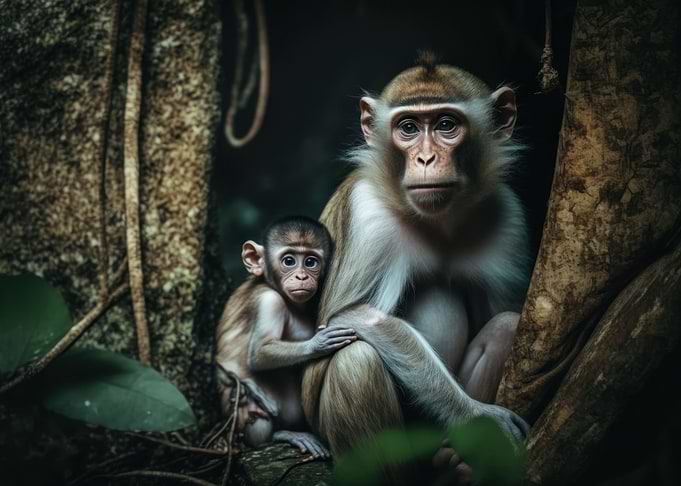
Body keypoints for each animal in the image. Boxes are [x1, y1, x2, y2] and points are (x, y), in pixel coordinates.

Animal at [215, 216, 356, 459]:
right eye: (289, 261)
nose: (302, 276)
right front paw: (319, 343)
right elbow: (259, 353)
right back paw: (282, 434)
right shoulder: (270, 301)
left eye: (311, 262)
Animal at [300, 52, 531, 478]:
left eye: (446, 125)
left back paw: (454, 460)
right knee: (355, 362)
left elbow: (504, 315)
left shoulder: (507, 216)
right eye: (408, 128)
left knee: (506, 325)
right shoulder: (369, 215)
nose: (426, 158)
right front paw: (479, 417)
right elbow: (349, 317)